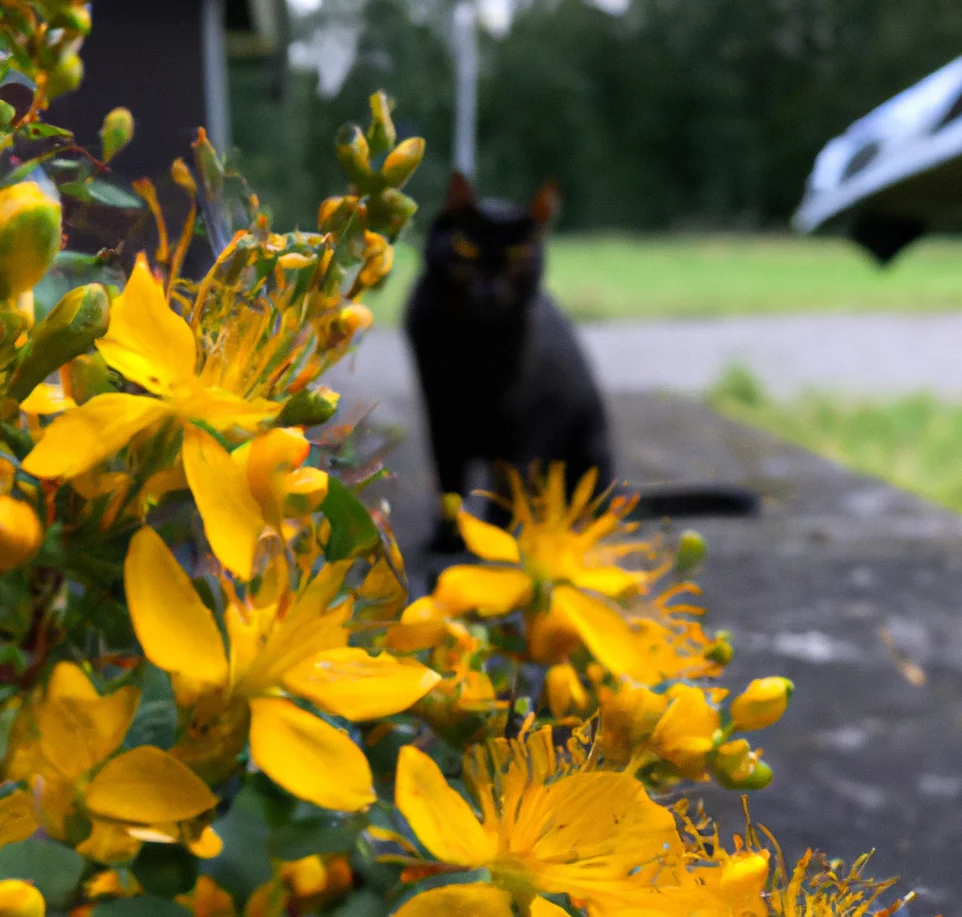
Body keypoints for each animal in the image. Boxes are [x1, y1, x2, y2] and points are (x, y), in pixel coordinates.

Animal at [402, 175, 752, 556]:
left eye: (517, 254)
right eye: (465, 247)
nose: (489, 286)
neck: (470, 342)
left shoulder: (527, 421)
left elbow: (509, 485)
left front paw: (496, 540)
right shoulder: (440, 412)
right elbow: (448, 484)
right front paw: (448, 538)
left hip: (586, 450)